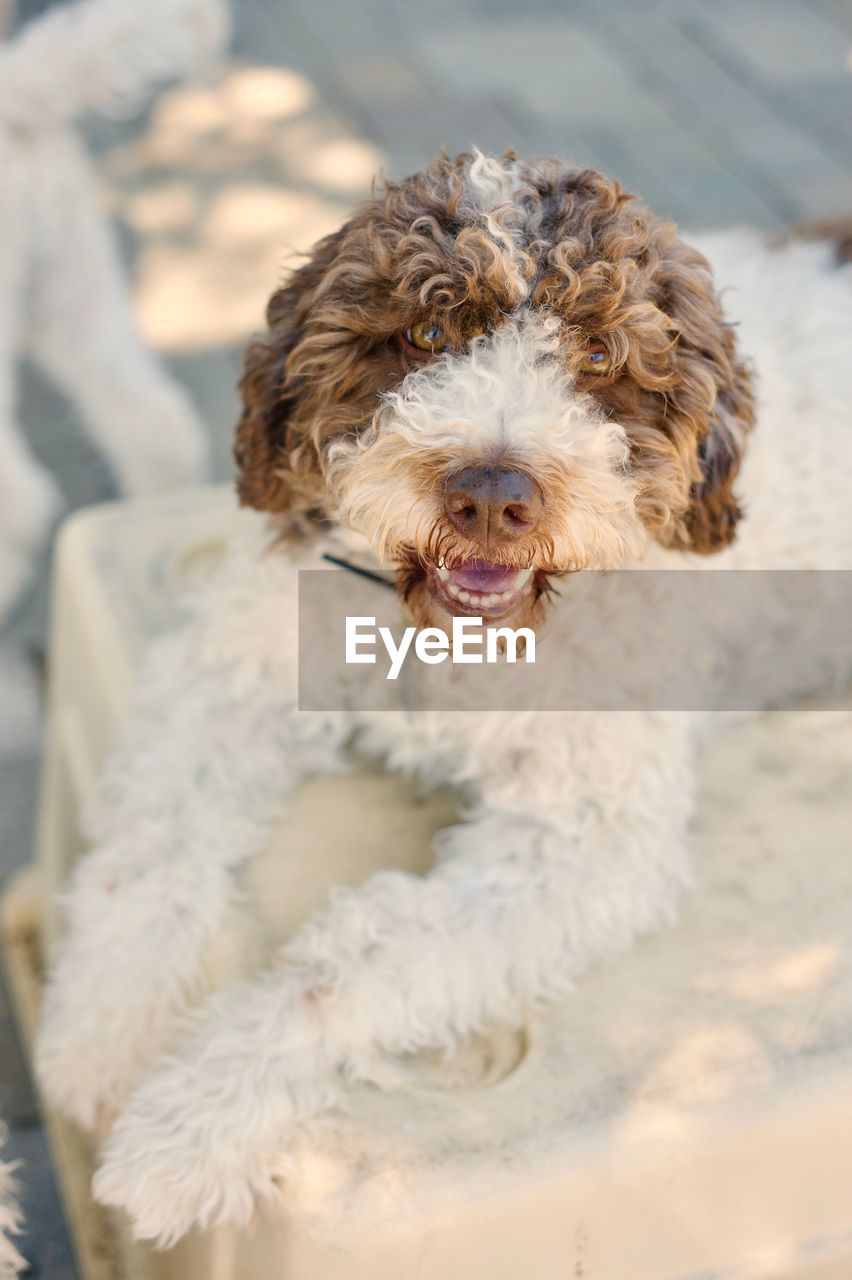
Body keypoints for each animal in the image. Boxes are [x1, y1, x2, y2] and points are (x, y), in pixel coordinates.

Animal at [34, 147, 849, 1239]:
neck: (443, 635)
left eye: (598, 354)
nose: (493, 496)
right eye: (426, 333)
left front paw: (192, 1122)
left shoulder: (583, 838)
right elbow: (145, 854)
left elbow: (356, 959)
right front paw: (100, 1036)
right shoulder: (234, 665)